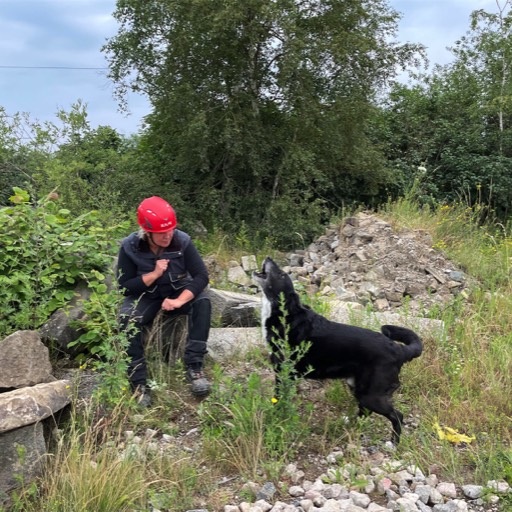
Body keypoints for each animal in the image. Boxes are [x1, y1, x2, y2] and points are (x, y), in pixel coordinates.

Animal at [253, 258, 424, 442]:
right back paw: (349, 424)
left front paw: (276, 419)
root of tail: (399, 349)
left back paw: (393, 443)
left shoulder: (283, 373)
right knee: (366, 411)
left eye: (281, 274)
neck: (285, 315)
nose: (268, 258)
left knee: (397, 415)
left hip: (371, 394)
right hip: (358, 387)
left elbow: (278, 400)